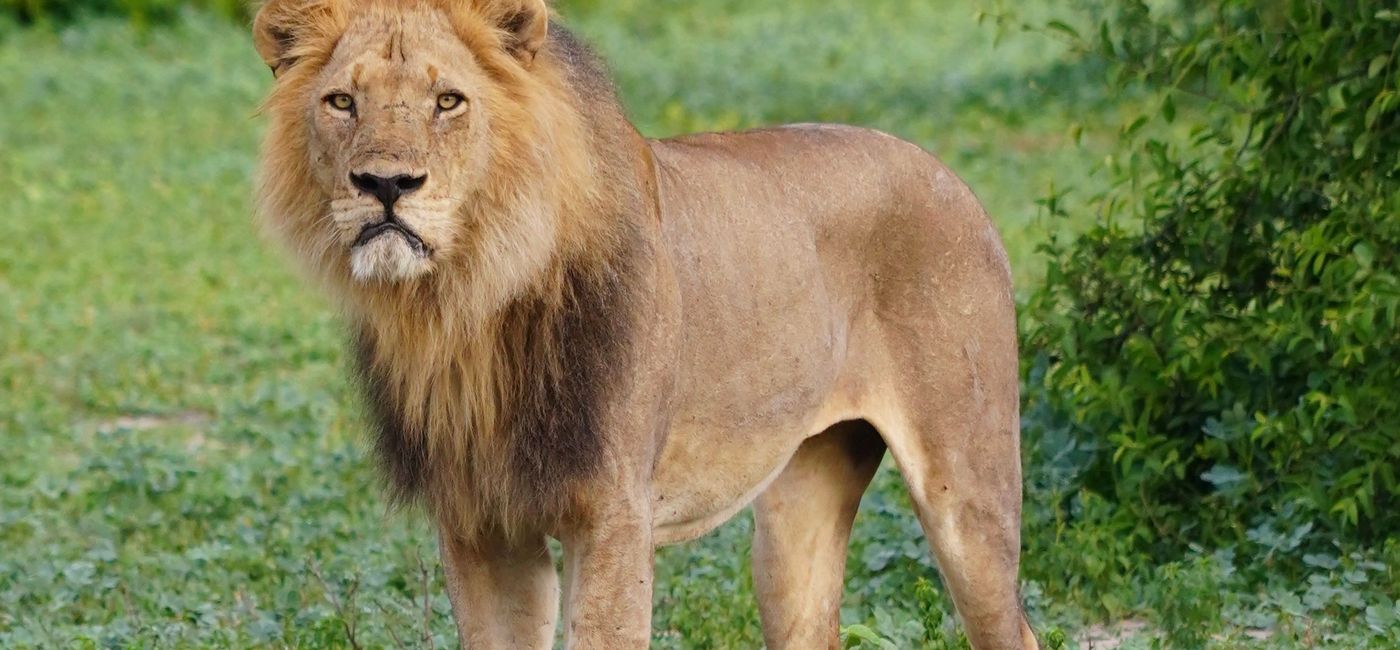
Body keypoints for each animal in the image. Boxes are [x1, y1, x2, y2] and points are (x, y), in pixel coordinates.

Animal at [252, 1, 1041, 650]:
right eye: (342, 102)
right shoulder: (480, 526)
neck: (466, 302)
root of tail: (948, 174)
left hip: (967, 490)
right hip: (797, 511)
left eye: (448, 101)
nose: (385, 185)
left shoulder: (614, 517)